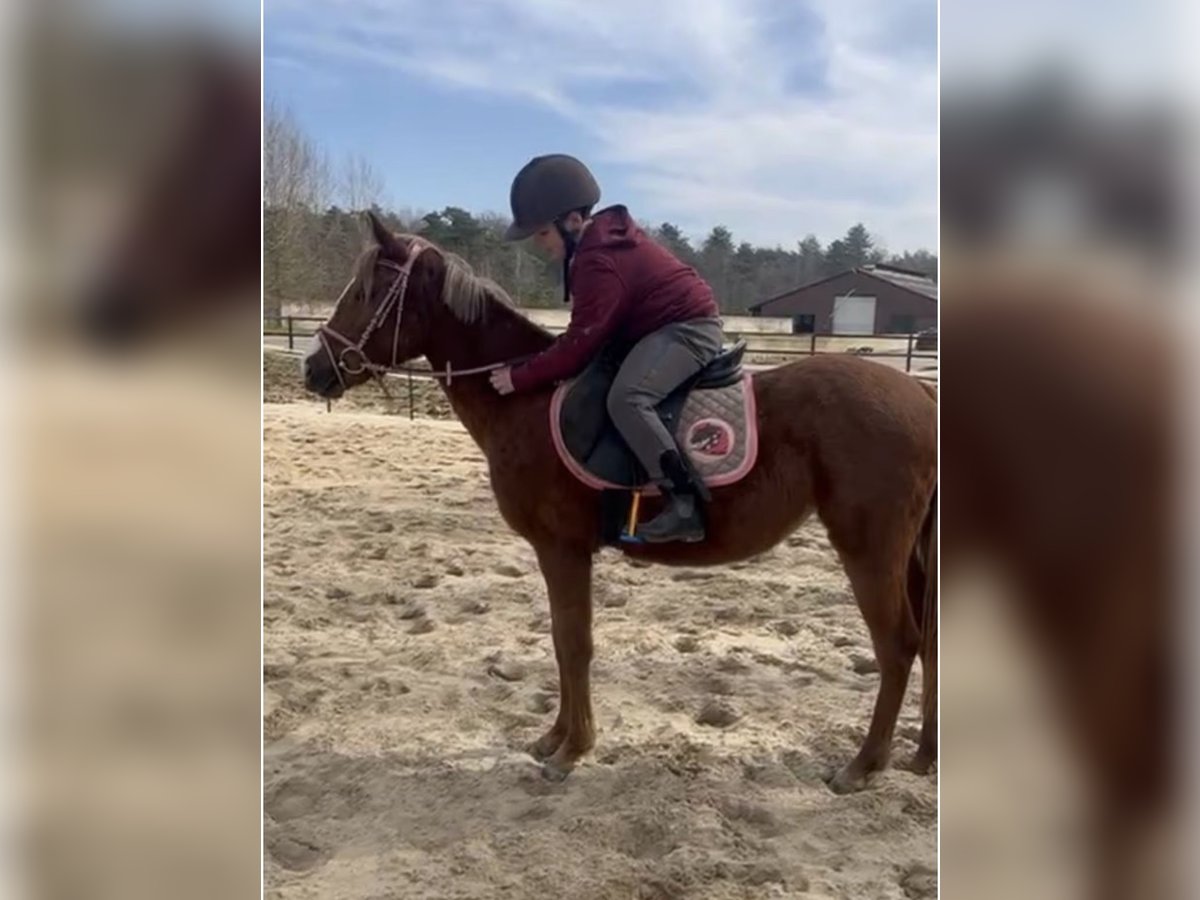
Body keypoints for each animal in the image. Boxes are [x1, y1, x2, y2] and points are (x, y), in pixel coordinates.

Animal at [302, 214, 936, 792]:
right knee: (928, 642)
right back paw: (924, 756)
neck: (526, 397)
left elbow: (574, 644)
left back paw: (863, 765)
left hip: (869, 549)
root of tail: (920, 392)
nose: (313, 369)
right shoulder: (560, 553)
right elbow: (563, 643)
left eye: (365, 293)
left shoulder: (562, 549)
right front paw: (555, 738)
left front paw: (572, 750)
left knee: (897, 645)